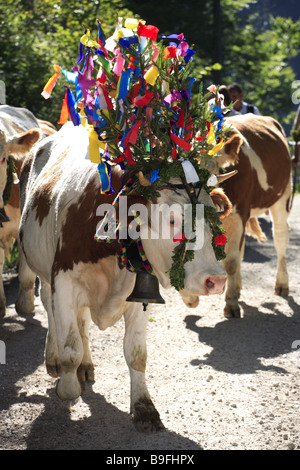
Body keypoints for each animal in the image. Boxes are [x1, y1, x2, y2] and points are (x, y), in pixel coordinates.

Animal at [217, 114, 292, 320]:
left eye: (216, 170)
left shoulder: (238, 214)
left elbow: (231, 261)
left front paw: (231, 304)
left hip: (282, 196)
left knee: (280, 238)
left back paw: (282, 283)